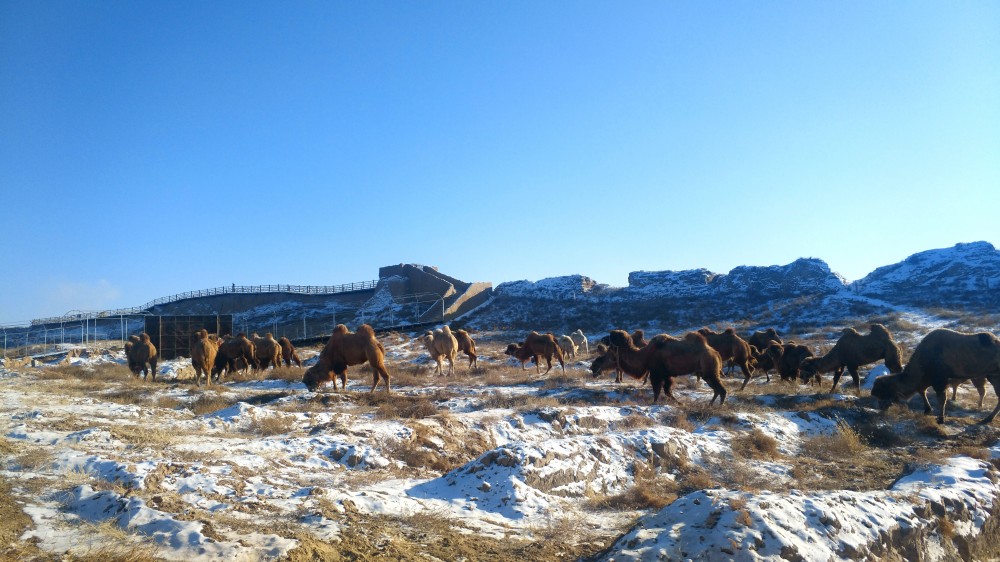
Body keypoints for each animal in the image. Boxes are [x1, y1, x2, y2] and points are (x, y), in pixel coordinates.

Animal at [596, 328, 724, 402]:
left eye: (612, 337)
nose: (603, 338)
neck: (644, 355)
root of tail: (716, 353)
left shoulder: (657, 373)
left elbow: (657, 391)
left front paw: (654, 404)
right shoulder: (666, 375)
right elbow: (667, 391)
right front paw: (679, 403)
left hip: (709, 369)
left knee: (721, 390)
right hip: (706, 373)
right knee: (717, 389)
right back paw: (710, 405)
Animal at [868, 326, 1000, 422]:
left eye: (883, 392)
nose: (880, 408)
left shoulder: (940, 380)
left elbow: (941, 399)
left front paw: (940, 419)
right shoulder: (929, 379)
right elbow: (922, 390)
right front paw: (927, 409)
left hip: (994, 376)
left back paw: (988, 418)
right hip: (991, 376)